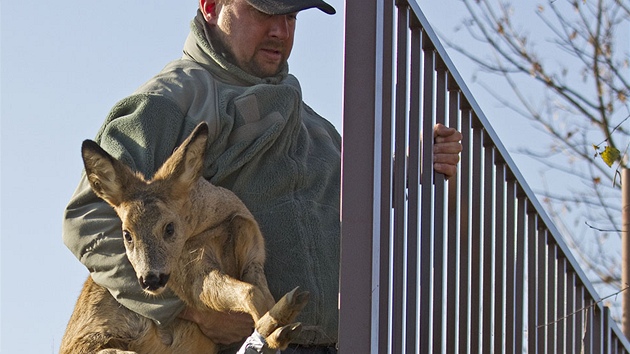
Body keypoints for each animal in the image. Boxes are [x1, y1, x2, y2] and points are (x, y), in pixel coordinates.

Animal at [59, 122, 308, 354]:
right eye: (127, 234)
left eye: (169, 227)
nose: (150, 280)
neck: (216, 226)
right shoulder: (189, 277)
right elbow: (250, 291)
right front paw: (277, 332)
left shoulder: (253, 255)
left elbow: (264, 295)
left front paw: (283, 322)